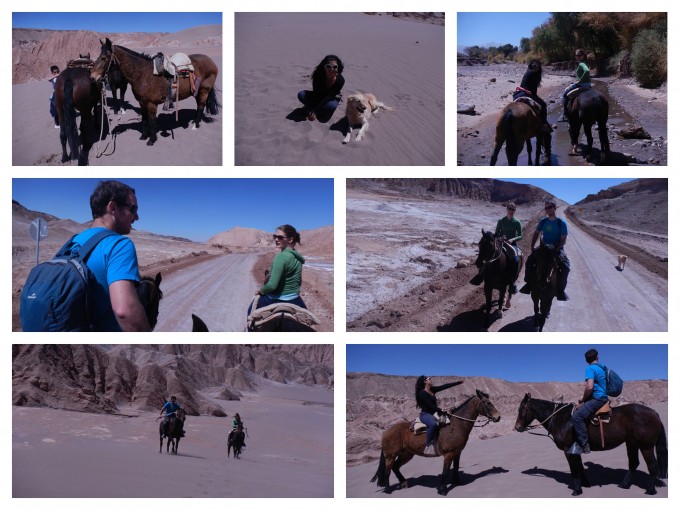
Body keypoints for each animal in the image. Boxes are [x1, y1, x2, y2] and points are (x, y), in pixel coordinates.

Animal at [90, 37, 220, 145]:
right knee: (199, 106)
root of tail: (211, 61)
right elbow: (144, 120)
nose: (92, 77)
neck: (142, 74)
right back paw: (194, 121)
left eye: (104, 58)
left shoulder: (151, 104)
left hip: (204, 90)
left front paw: (151, 140)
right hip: (197, 91)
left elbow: (152, 121)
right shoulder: (142, 103)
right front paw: (143, 136)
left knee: (201, 106)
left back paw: (195, 125)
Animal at [370, 390, 502, 494]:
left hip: (406, 454)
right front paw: (442, 490)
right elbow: (445, 471)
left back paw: (403, 484)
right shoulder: (449, 454)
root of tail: (385, 432)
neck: (456, 425)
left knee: (395, 467)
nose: (498, 417)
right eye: (487, 402)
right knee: (387, 471)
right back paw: (388, 490)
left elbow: (455, 467)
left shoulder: (457, 452)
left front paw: (457, 482)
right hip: (390, 455)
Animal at [512, 392, 668, 496]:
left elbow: (574, 469)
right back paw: (623, 485)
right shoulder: (576, 449)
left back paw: (650, 490)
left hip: (646, 446)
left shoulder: (568, 449)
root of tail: (653, 412)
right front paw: (585, 484)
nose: (517, 427)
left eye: (520, 409)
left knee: (652, 465)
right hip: (631, 443)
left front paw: (576, 490)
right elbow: (580, 467)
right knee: (634, 463)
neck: (560, 419)